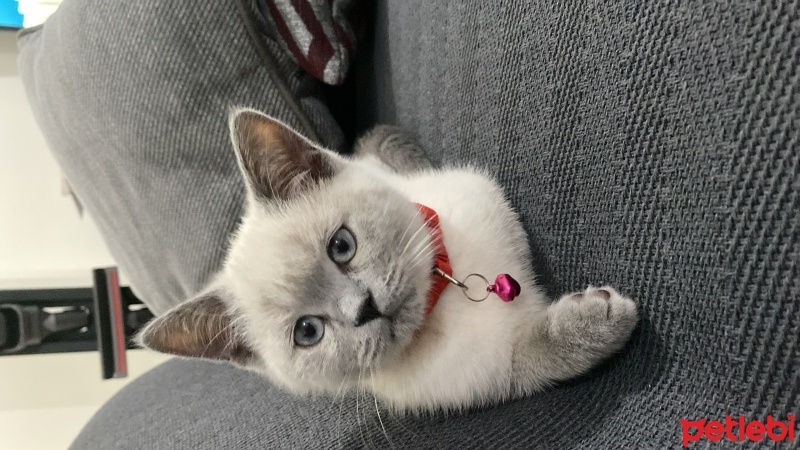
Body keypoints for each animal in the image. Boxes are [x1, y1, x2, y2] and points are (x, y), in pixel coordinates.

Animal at [138, 108, 636, 412]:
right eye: (308, 331)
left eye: (342, 246)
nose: (365, 308)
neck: (441, 306)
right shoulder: (481, 376)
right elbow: (529, 361)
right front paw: (595, 322)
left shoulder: (485, 203)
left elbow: (521, 264)